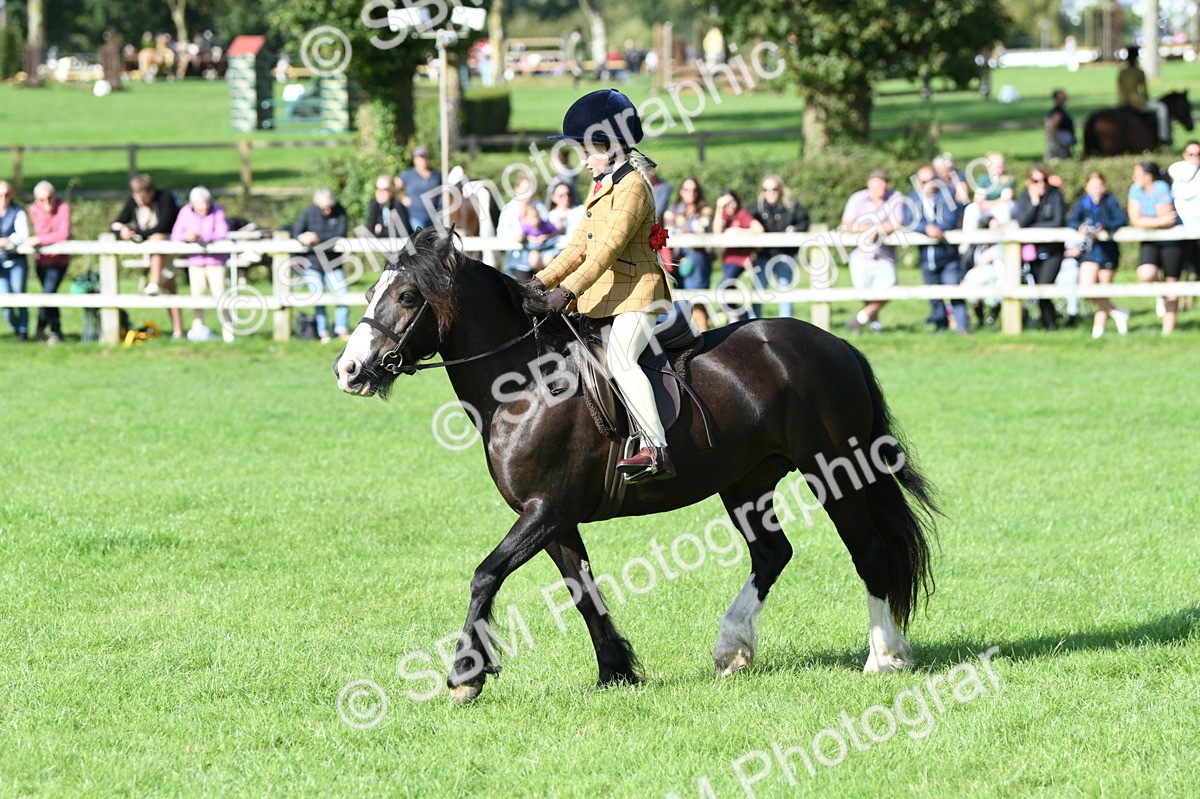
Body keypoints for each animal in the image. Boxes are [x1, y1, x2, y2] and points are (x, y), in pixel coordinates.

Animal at [332, 227, 940, 704]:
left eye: (407, 295)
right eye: (369, 291)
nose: (349, 370)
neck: (524, 384)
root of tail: (834, 345)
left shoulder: (545, 511)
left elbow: (486, 575)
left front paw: (465, 676)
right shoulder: (555, 519)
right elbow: (583, 591)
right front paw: (615, 671)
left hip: (833, 469)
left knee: (869, 551)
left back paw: (883, 656)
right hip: (745, 482)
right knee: (772, 553)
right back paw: (733, 648)